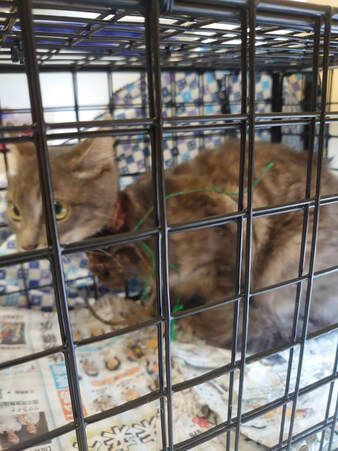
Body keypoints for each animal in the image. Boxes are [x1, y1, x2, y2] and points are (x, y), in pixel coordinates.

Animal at [6, 138, 338, 354]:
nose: (27, 244)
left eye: (57, 209)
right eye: (15, 210)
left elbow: (224, 308)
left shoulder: (228, 244)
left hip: (290, 262)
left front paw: (234, 333)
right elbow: (160, 296)